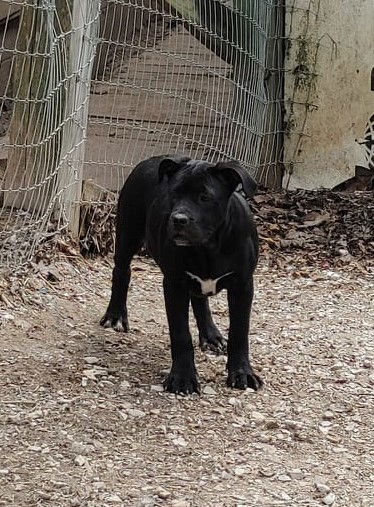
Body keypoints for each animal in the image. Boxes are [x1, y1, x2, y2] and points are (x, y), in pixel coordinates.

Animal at [101, 157, 262, 394]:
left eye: (205, 197)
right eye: (173, 195)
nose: (178, 219)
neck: (207, 248)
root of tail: (152, 159)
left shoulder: (242, 285)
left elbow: (240, 332)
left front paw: (242, 373)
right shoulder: (174, 284)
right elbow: (181, 334)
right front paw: (183, 378)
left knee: (200, 299)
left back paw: (211, 336)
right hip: (127, 232)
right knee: (121, 272)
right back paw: (115, 316)